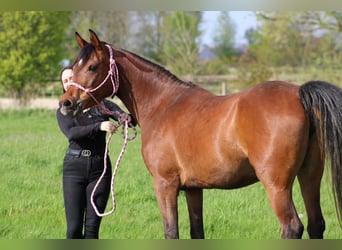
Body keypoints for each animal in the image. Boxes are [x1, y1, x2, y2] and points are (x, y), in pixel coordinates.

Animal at [59, 29, 342, 238]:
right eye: (74, 66)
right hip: (309, 176)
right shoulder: (194, 189)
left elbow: (171, 232)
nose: (66, 103)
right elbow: (197, 231)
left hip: (277, 185)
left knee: (292, 227)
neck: (163, 104)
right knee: (316, 224)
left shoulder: (165, 184)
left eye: (92, 67)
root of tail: (299, 94)